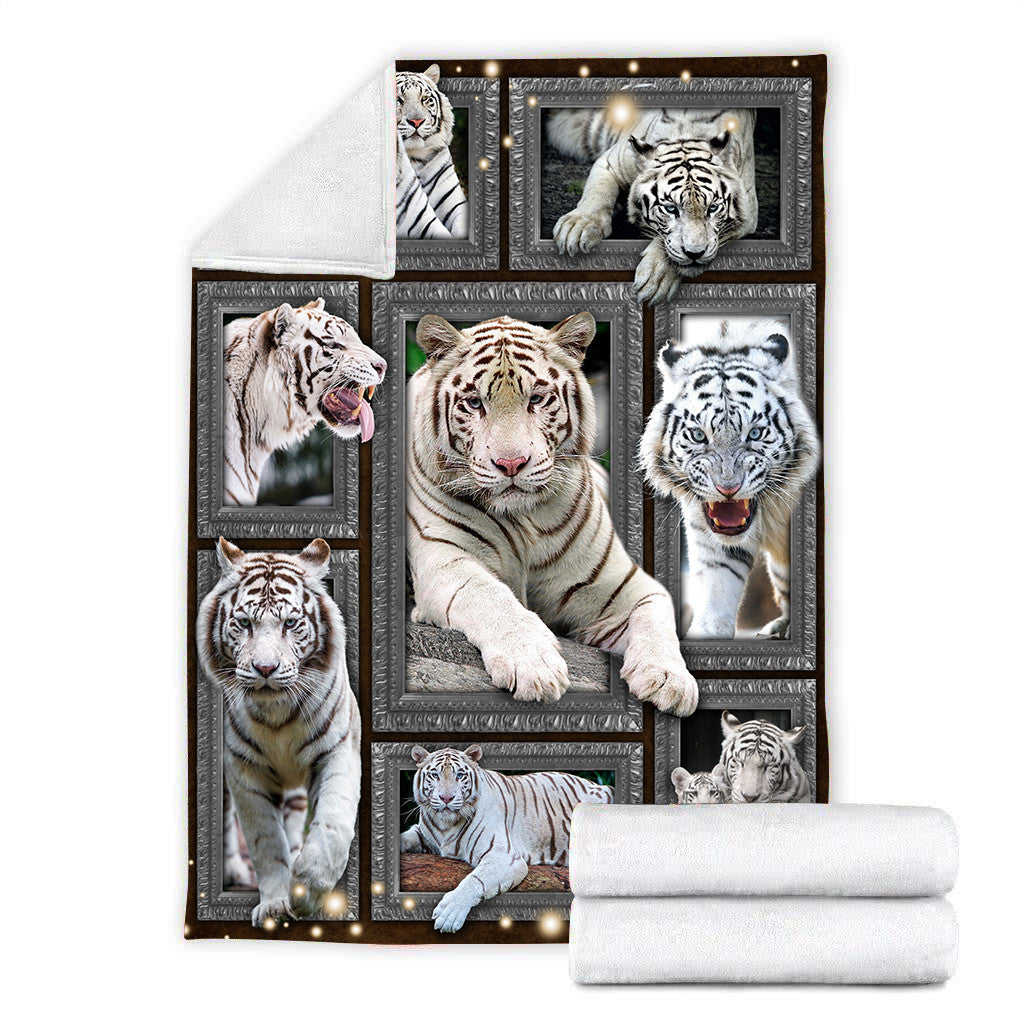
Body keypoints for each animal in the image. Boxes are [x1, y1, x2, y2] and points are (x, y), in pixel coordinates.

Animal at [197, 538, 361, 926]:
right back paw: (233, 870)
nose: (266, 668)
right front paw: (275, 904)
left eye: (290, 623)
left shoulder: (338, 751)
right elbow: (266, 842)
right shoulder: (244, 769)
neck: (277, 713)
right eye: (244, 623)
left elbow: (332, 825)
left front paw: (306, 890)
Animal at [400, 745, 612, 932]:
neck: (446, 826)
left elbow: (476, 880)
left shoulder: (504, 857)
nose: (446, 798)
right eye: (435, 775)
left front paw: (449, 913)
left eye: (459, 775)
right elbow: (406, 836)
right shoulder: (424, 834)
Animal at [407, 312, 697, 716]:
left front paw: (670, 679)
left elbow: (656, 619)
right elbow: (490, 596)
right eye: (474, 403)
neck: (523, 521)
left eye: (537, 399)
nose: (511, 464)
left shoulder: (627, 586)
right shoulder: (444, 562)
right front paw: (533, 664)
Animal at [548, 108, 757, 304]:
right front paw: (577, 229)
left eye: (712, 208)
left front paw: (657, 277)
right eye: (671, 208)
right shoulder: (610, 162)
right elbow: (597, 194)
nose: (695, 254)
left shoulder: (748, 211)